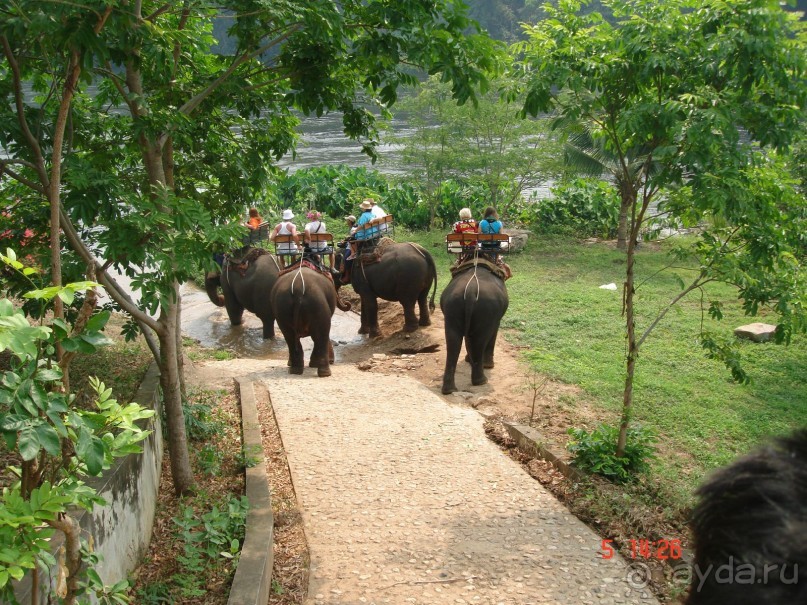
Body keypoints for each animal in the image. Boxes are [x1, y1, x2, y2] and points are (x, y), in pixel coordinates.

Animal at [438, 260, 508, 396]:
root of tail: (470, 292)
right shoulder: (495, 318)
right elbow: (494, 330)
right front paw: (488, 365)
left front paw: (468, 360)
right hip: (486, 310)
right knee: (480, 340)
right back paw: (481, 381)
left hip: (452, 307)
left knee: (453, 341)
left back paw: (449, 389)